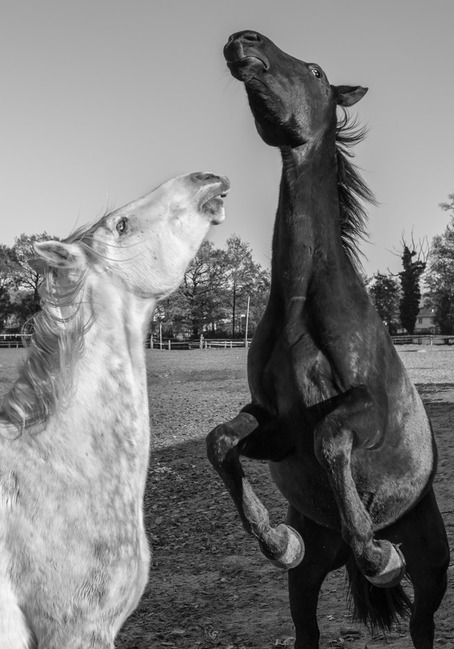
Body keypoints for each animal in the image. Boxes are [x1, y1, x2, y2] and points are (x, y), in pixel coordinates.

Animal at [207, 31, 450, 648]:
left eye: (316, 71)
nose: (243, 41)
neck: (302, 306)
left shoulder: (367, 411)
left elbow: (332, 439)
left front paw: (378, 554)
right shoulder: (275, 426)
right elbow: (221, 441)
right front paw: (277, 541)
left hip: (432, 568)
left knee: (421, 625)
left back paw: (373, 548)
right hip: (308, 585)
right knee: (307, 628)